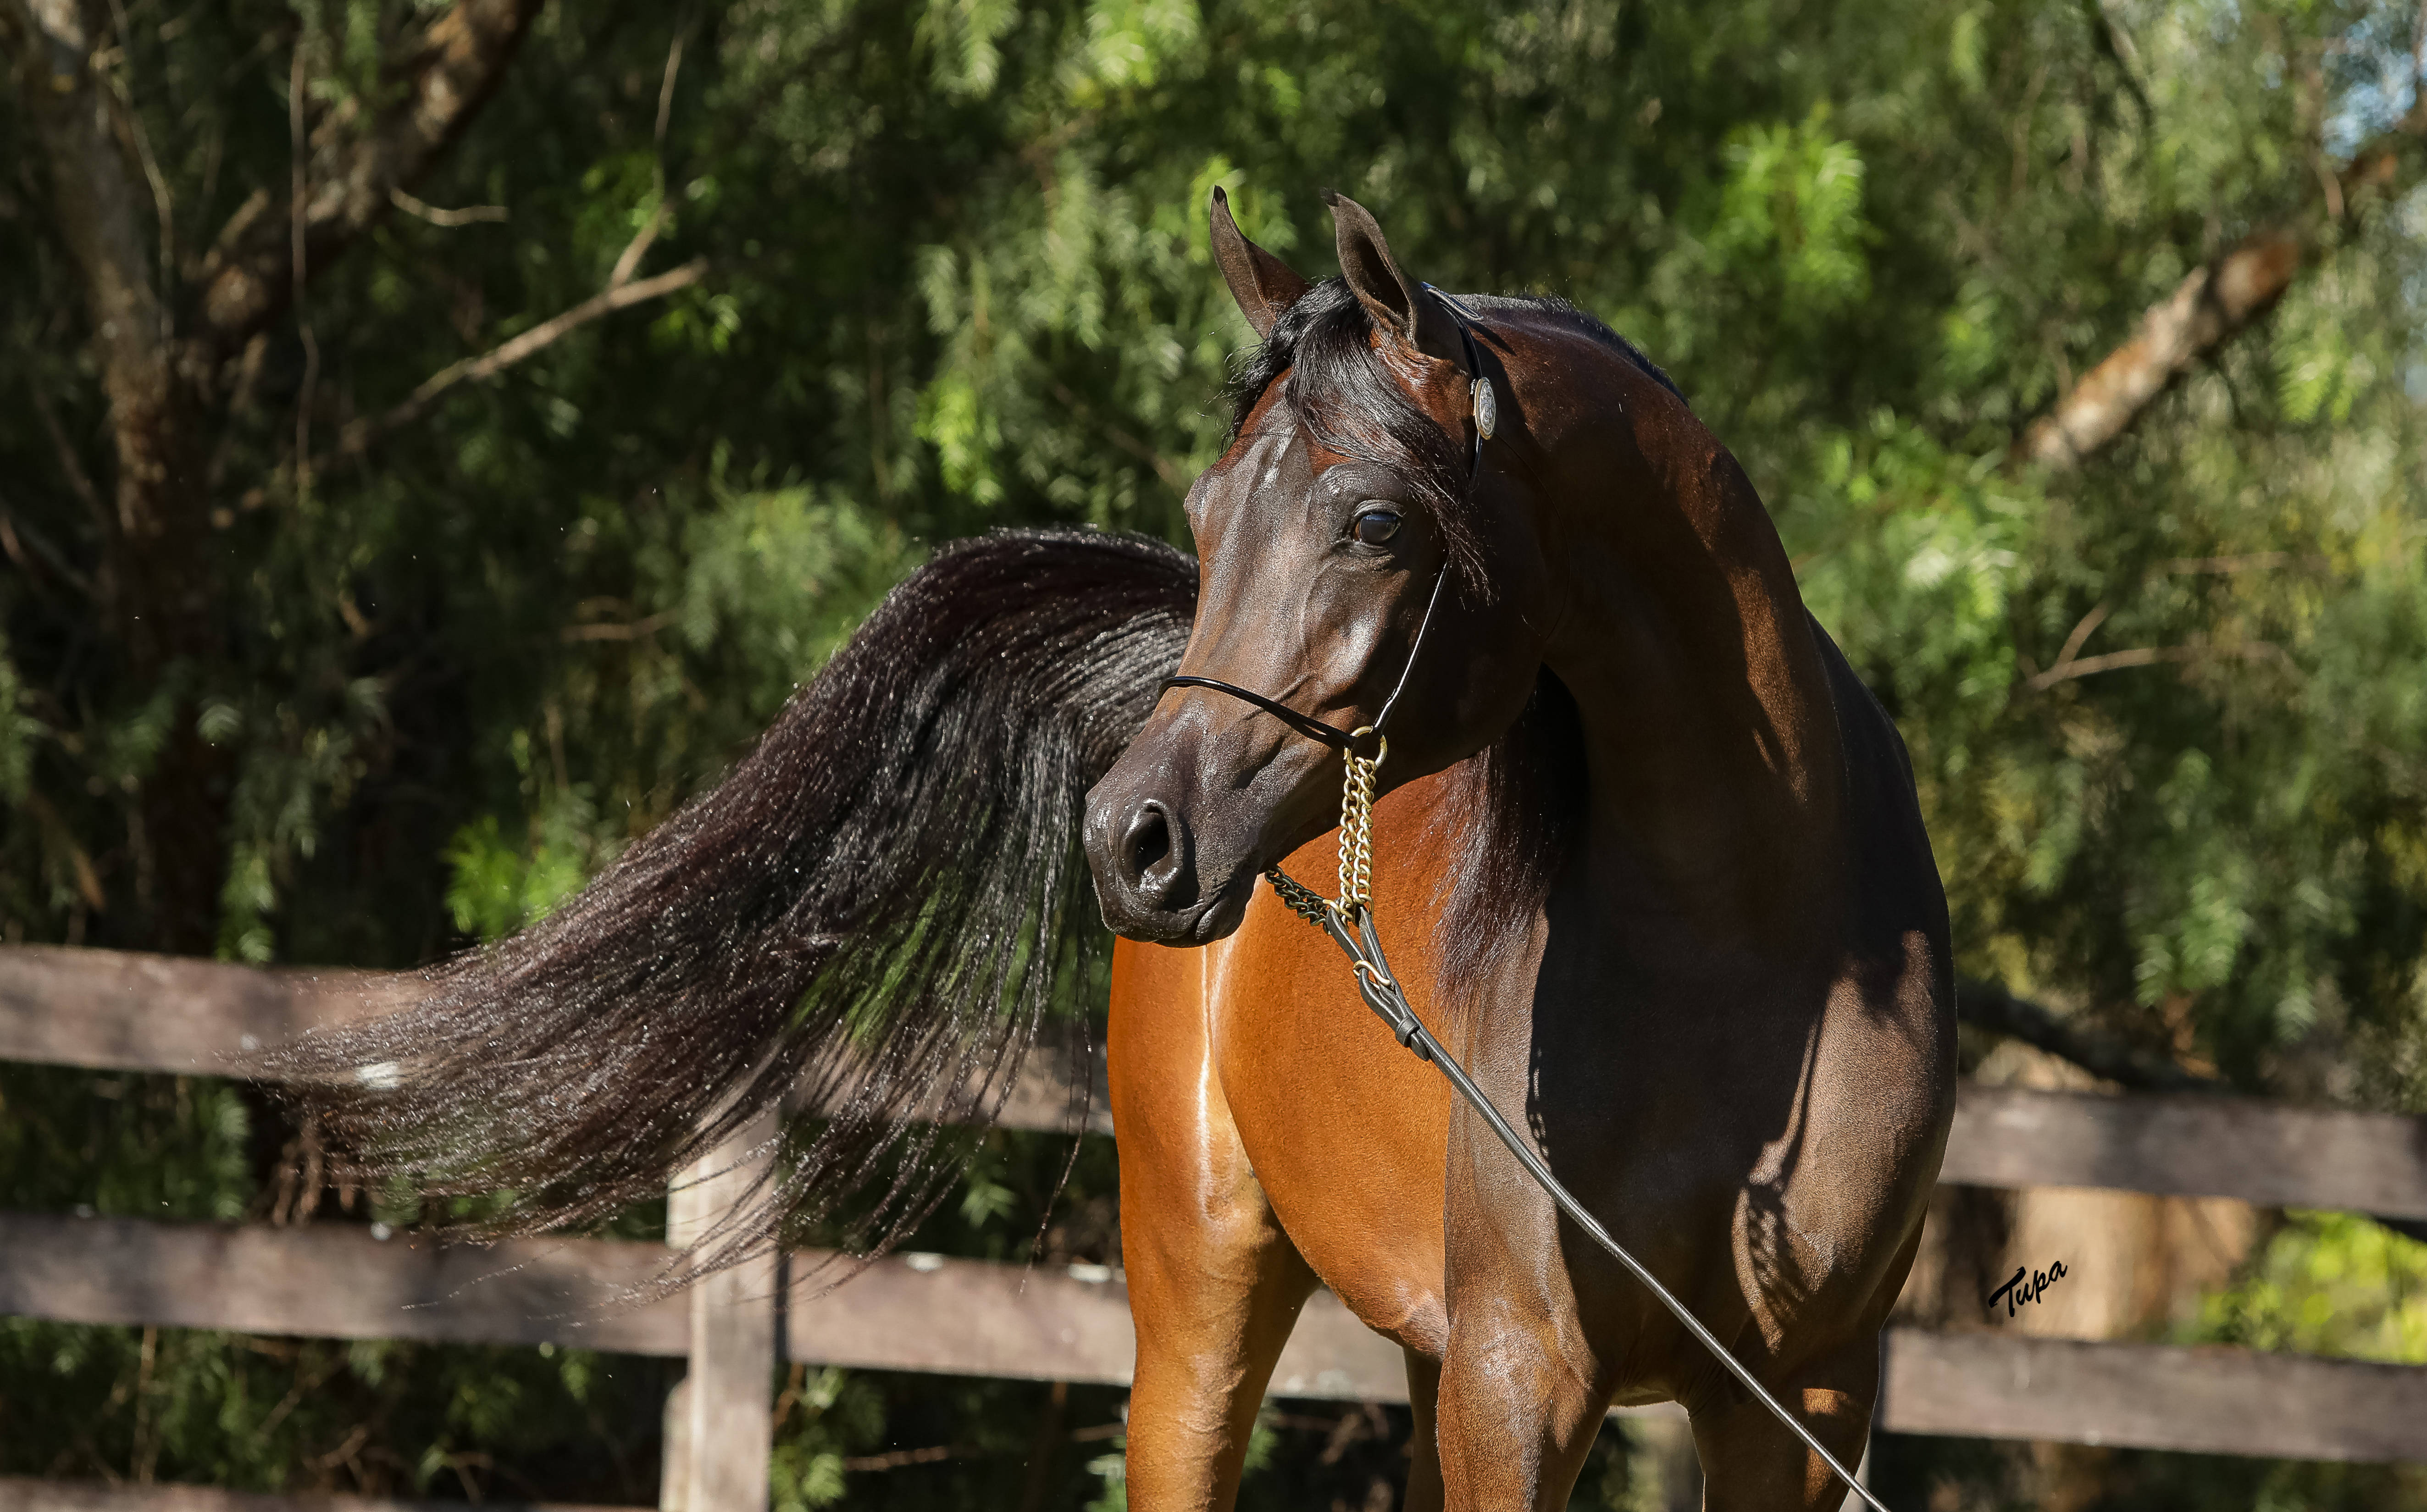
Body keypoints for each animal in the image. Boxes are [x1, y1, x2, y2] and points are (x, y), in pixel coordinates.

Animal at [282, 189, 1952, 1512]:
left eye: (1372, 520)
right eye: (1209, 511)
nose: (1132, 837)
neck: (1731, 950)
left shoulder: (1799, 1401)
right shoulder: (1517, 1374)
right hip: (1201, 1296)